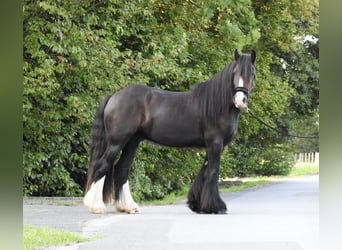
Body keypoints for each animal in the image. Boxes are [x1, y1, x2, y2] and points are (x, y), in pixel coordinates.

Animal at [84, 49, 256, 214]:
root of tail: (114, 96)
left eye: (252, 73)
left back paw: (128, 207)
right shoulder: (215, 144)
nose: (240, 101)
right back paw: (95, 206)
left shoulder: (210, 146)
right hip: (117, 142)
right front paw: (215, 207)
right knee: (102, 166)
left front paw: (197, 205)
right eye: (235, 72)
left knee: (122, 169)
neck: (218, 105)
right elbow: (213, 172)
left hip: (132, 142)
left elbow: (204, 172)